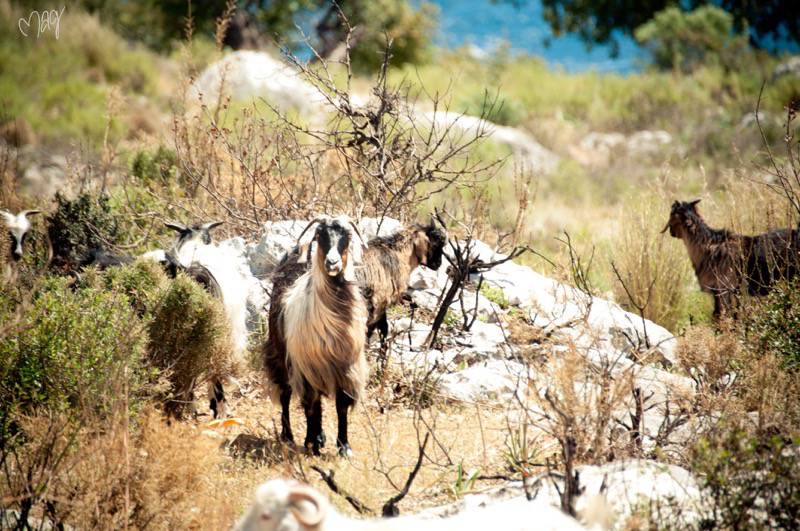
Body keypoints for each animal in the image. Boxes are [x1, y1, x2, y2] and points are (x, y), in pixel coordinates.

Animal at [266, 216, 372, 458]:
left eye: (347, 236)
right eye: (320, 235)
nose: (332, 263)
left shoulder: (345, 367)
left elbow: (341, 406)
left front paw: (344, 446)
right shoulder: (306, 365)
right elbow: (311, 406)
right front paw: (312, 443)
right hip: (281, 355)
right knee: (287, 394)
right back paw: (289, 435)